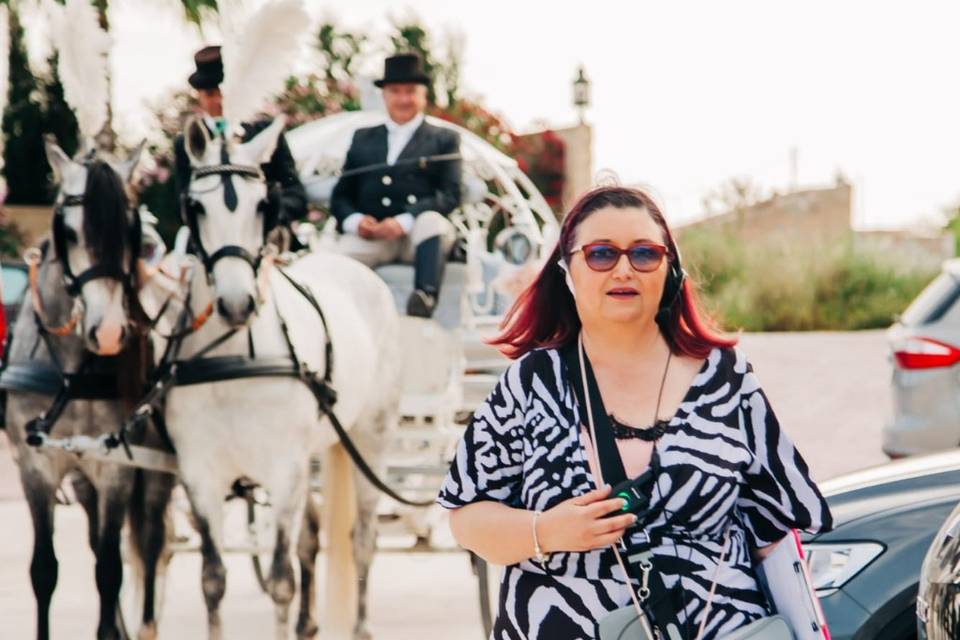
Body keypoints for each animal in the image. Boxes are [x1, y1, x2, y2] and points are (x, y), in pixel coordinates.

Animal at [142, 116, 402, 640]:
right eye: (195, 206)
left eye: (263, 204)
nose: (236, 303)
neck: (235, 357)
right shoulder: (200, 474)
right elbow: (213, 579)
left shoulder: (284, 471)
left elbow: (281, 579)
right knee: (313, 535)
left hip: (369, 439)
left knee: (362, 538)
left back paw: (361, 624)